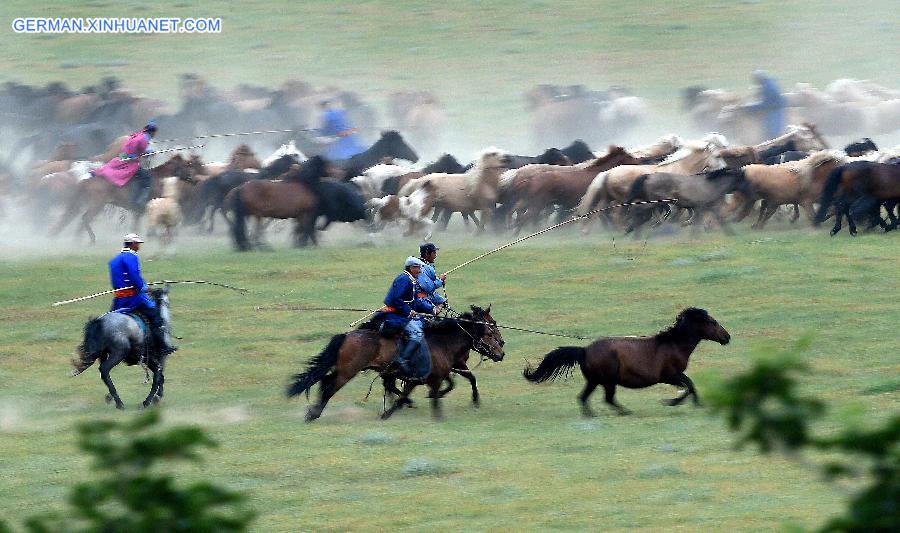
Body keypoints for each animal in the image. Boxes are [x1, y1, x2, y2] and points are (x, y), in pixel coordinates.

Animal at [48, 154, 195, 243]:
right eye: (186, 165)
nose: (194, 179)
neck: (158, 179)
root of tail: (86, 179)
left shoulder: (139, 211)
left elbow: (136, 224)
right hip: (97, 205)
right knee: (85, 218)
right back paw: (91, 240)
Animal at [284, 304, 502, 420]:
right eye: (491, 328)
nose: (502, 351)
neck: (442, 340)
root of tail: (346, 336)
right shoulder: (443, 371)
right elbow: (457, 382)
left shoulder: (439, 372)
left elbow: (462, 380)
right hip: (348, 371)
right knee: (329, 386)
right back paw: (314, 414)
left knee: (325, 381)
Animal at [520, 308, 732, 416]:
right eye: (713, 322)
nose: (727, 337)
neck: (673, 344)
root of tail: (585, 350)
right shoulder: (670, 375)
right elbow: (688, 386)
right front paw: (672, 402)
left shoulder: (674, 376)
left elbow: (691, 385)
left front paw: (697, 404)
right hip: (607, 381)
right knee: (607, 399)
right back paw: (624, 412)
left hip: (595, 381)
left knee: (584, 398)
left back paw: (593, 414)